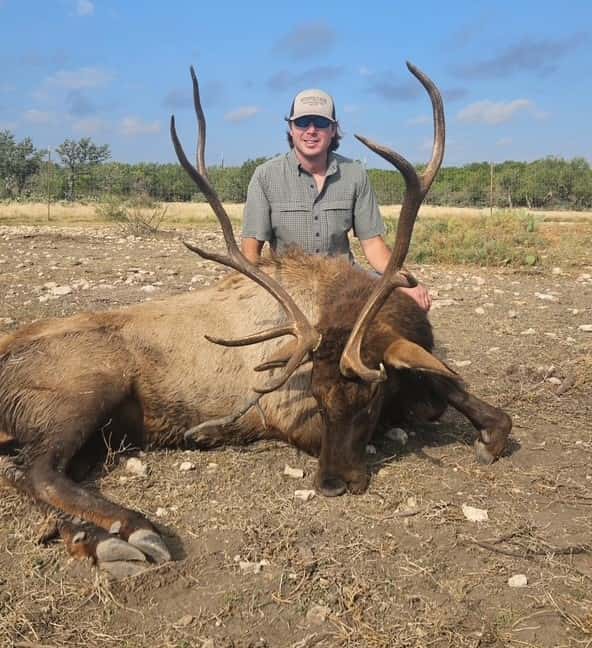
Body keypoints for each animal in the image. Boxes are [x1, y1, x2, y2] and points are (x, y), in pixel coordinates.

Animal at [0, 64, 511, 578]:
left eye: (368, 399)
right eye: (318, 397)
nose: (331, 483)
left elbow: (455, 392)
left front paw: (487, 432)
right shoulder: (285, 414)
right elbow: (419, 409)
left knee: (21, 472)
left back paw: (90, 537)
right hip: (84, 392)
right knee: (37, 470)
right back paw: (133, 531)